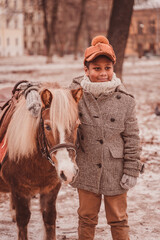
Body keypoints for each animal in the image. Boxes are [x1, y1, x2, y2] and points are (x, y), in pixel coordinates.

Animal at [0, 81, 82, 239]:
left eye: (76, 124)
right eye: (47, 126)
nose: (68, 172)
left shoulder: (51, 189)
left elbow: (49, 218)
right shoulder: (19, 191)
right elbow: (23, 220)